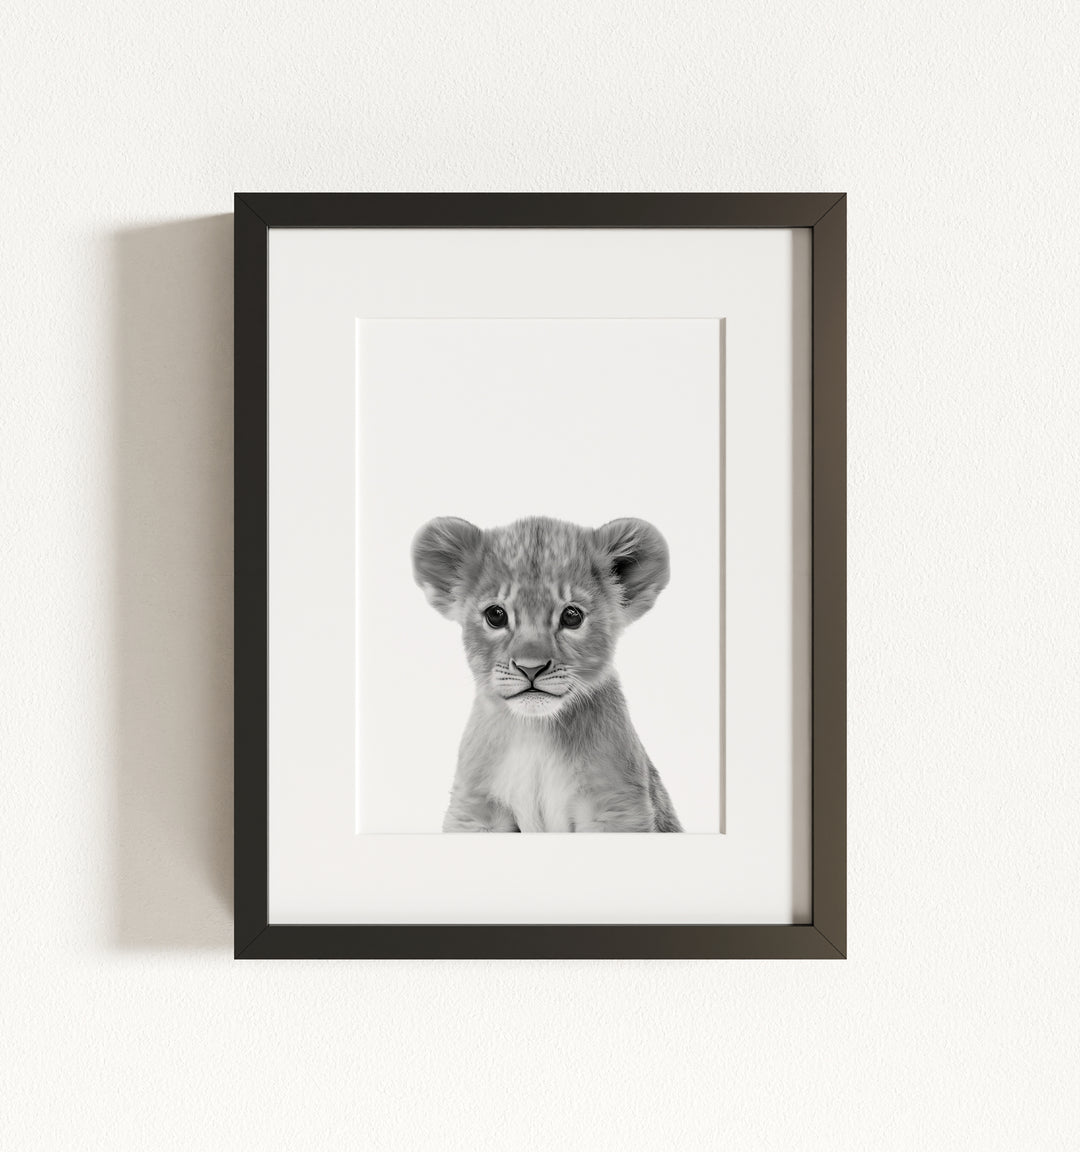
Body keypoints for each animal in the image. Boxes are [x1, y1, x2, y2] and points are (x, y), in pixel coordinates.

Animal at [411, 515, 683, 832]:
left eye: (572, 616)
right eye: (496, 615)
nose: (531, 668)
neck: (535, 732)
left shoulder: (616, 806)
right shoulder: (475, 809)